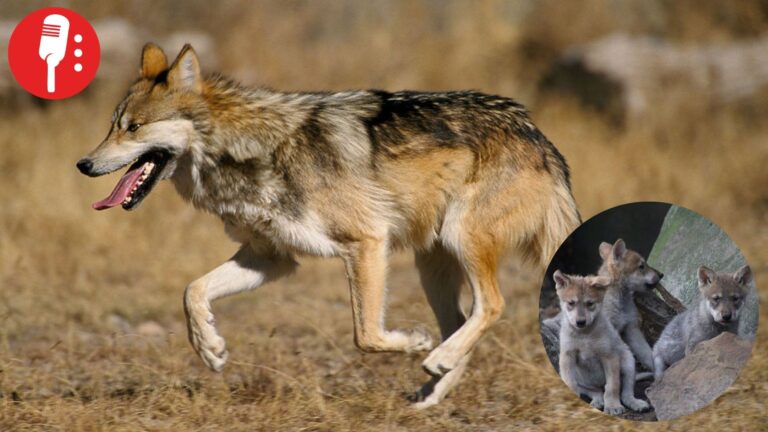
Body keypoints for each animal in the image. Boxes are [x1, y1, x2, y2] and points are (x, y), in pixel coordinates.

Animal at [76, 43, 580, 408]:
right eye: (112, 125)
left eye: (134, 128)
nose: (83, 164)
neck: (248, 149)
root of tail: (539, 137)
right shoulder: (270, 258)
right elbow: (192, 291)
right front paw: (210, 348)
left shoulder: (366, 242)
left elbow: (367, 335)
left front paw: (412, 341)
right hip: (432, 263)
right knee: (461, 320)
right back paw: (431, 390)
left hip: (460, 240)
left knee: (492, 306)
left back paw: (435, 357)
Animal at [554, 270, 649, 415]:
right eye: (571, 303)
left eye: (590, 303)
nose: (580, 322)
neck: (585, 335)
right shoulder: (567, 357)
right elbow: (571, 384)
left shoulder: (609, 356)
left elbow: (612, 386)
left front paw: (613, 406)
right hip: (580, 380)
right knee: (596, 392)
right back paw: (597, 402)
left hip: (628, 364)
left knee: (625, 394)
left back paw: (636, 403)